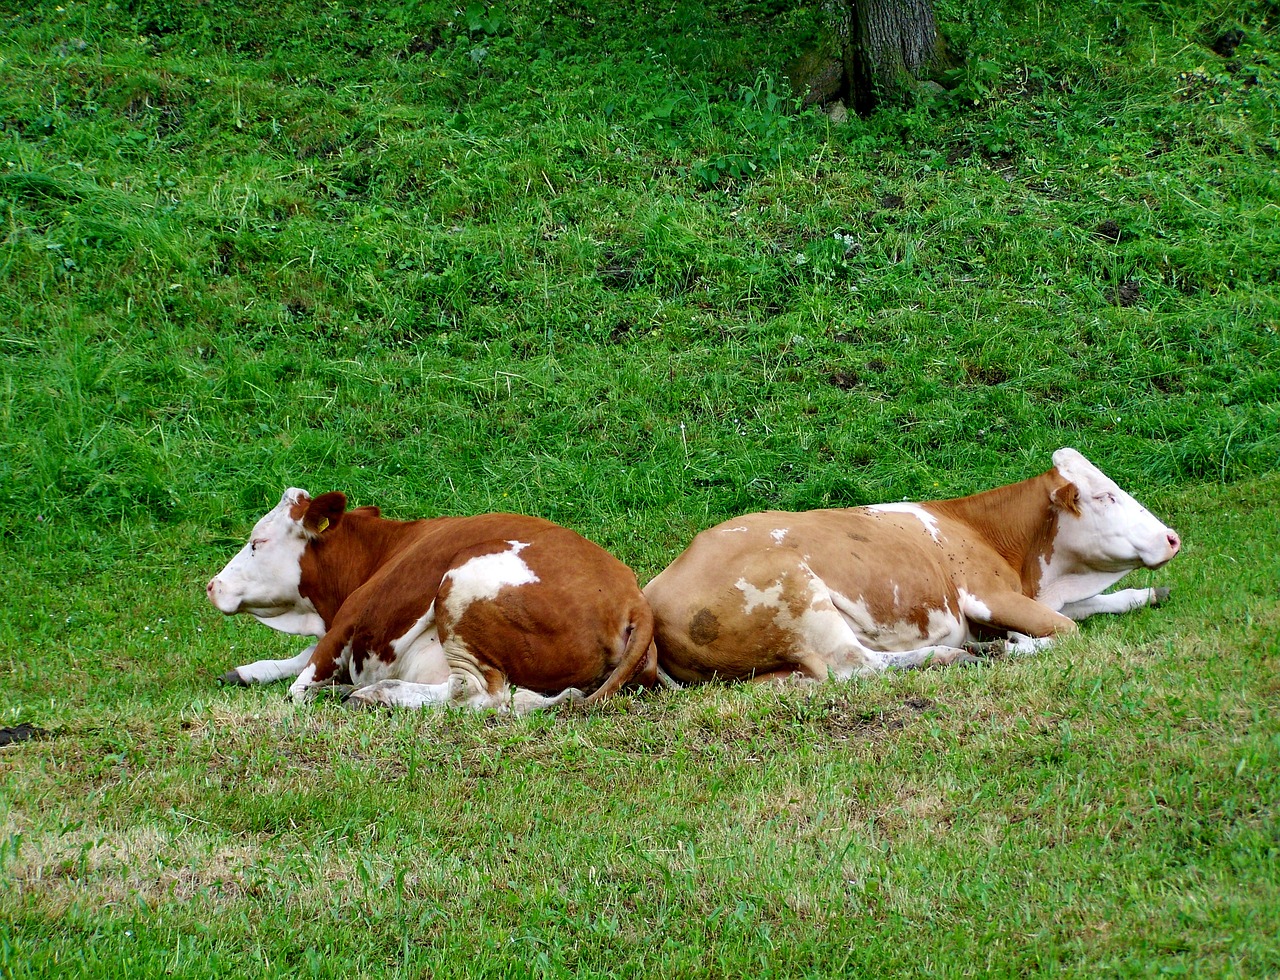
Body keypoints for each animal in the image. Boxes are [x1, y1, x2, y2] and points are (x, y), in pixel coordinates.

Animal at [207, 491, 660, 716]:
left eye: (258, 541)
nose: (212, 585)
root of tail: (633, 596)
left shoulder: (350, 617)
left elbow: (300, 685)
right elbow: (299, 658)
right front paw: (246, 672)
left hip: (463, 582)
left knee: (475, 692)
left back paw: (376, 695)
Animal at [645, 450, 1182, 685]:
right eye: (1105, 496)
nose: (1172, 539)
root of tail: (656, 590)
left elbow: (1098, 604)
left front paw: (1150, 593)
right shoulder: (988, 596)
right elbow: (1068, 629)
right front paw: (1008, 645)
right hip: (797, 596)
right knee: (851, 666)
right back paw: (957, 656)